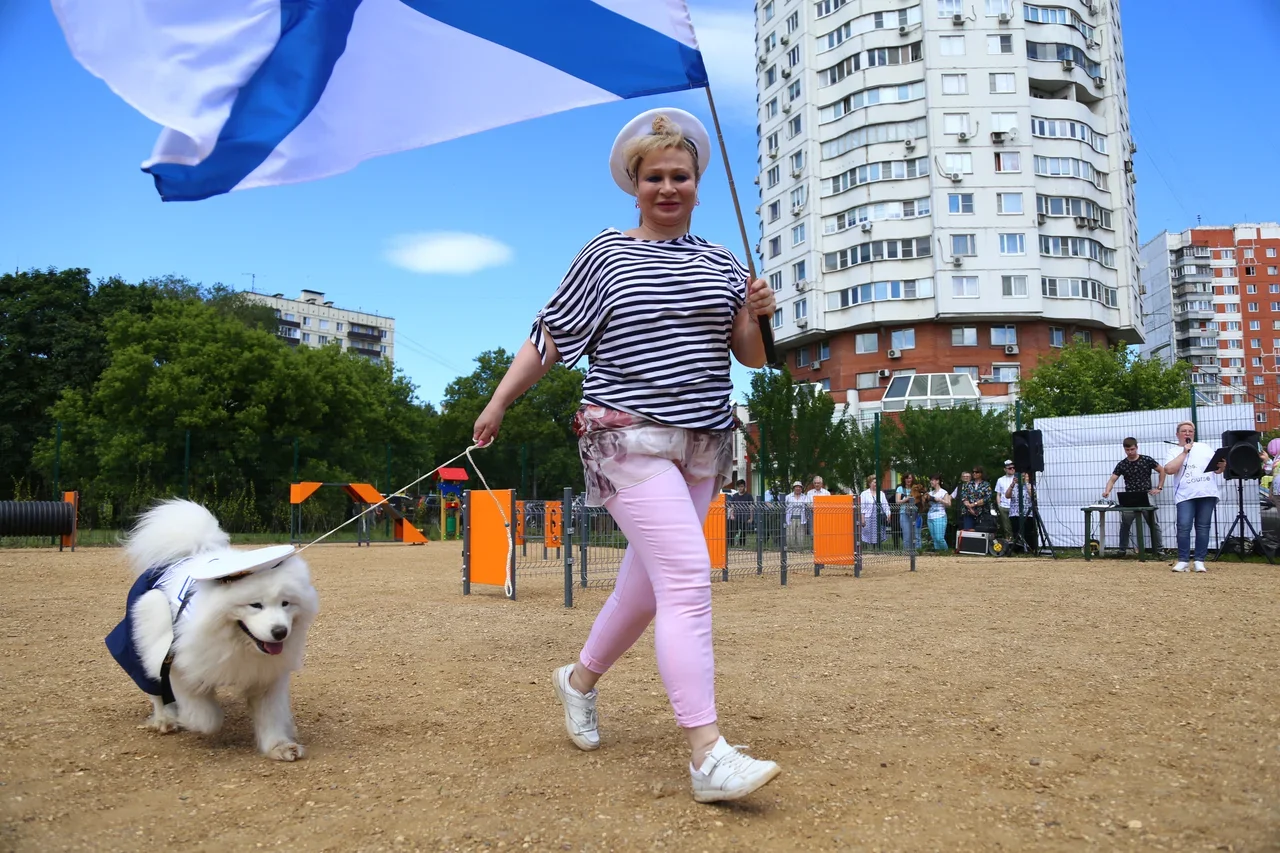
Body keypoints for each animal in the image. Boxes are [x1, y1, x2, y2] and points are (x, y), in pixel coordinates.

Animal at [107, 499, 322, 758]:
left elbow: (271, 716)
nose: (280, 632)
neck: (236, 644)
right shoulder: (179, 666)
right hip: (148, 627)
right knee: (155, 689)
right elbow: (207, 717)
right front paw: (189, 718)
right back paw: (165, 719)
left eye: (285, 603)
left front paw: (279, 747)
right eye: (255, 605)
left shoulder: (266, 677)